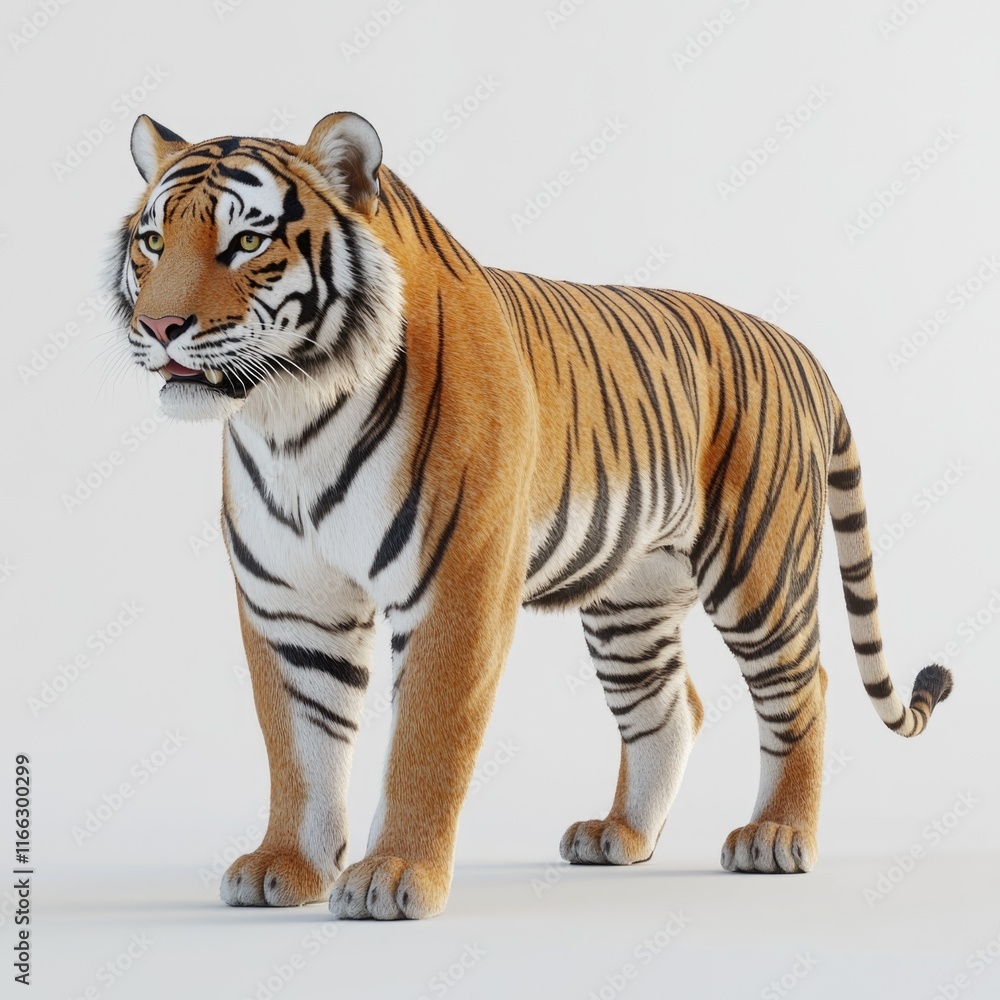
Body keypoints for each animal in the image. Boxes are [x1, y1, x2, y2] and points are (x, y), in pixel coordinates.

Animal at [108, 111, 953, 920]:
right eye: (153, 241)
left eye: (247, 242)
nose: (158, 329)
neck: (291, 412)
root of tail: (796, 347)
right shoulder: (291, 602)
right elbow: (299, 748)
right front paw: (287, 866)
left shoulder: (454, 588)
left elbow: (425, 741)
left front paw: (393, 875)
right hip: (631, 602)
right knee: (671, 704)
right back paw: (622, 836)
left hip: (760, 573)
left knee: (803, 687)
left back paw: (777, 835)